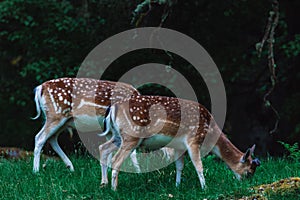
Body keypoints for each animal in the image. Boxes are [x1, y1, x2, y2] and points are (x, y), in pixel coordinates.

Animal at [98, 95, 260, 191]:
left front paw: (177, 186)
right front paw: (205, 188)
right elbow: (199, 166)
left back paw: (104, 184)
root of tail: (112, 108)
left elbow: (179, 166)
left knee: (103, 148)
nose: (246, 184)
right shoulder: (194, 139)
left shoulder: (178, 147)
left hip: (118, 136)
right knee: (116, 159)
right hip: (131, 136)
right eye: (249, 172)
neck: (210, 132)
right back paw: (114, 189)